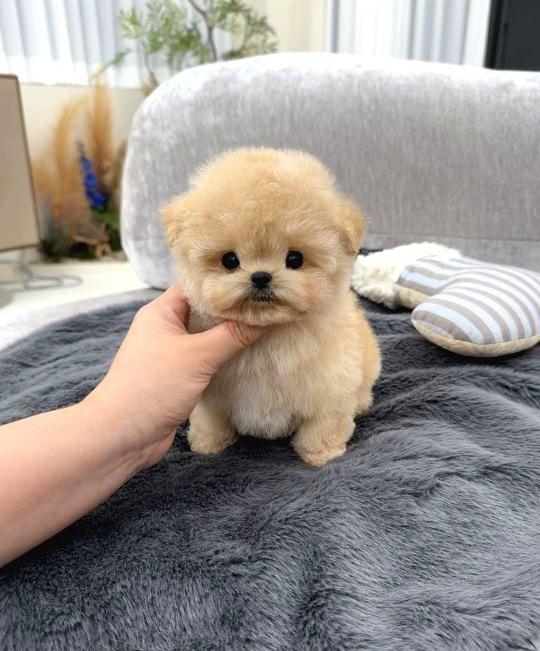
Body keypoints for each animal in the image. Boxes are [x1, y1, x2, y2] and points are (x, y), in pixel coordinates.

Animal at [162, 148, 381, 467]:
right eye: (230, 260)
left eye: (295, 259)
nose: (261, 277)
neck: (268, 339)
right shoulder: (210, 394)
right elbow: (211, 419)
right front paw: (209, 445)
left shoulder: (330, 389)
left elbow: (322, 425)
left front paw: (320, 455)